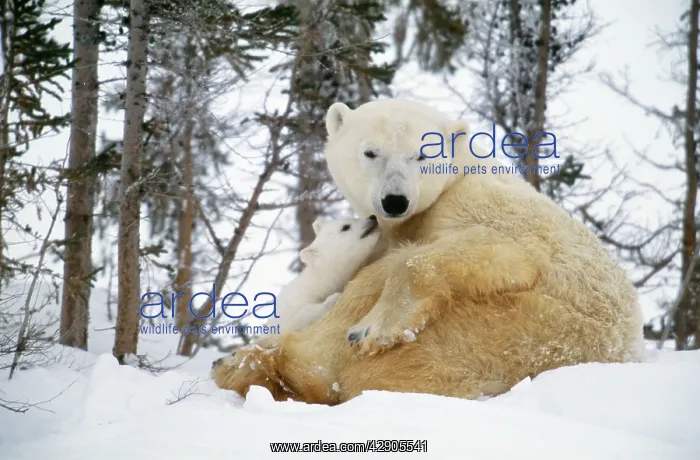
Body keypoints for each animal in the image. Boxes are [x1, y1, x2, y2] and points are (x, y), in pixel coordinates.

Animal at [211, 98, 644, 405]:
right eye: (371, 152)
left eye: (422, 154)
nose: (395, 201)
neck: (458, 177)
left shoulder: (496, 217)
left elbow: (496, 251)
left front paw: (373, 329)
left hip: (497, 330)